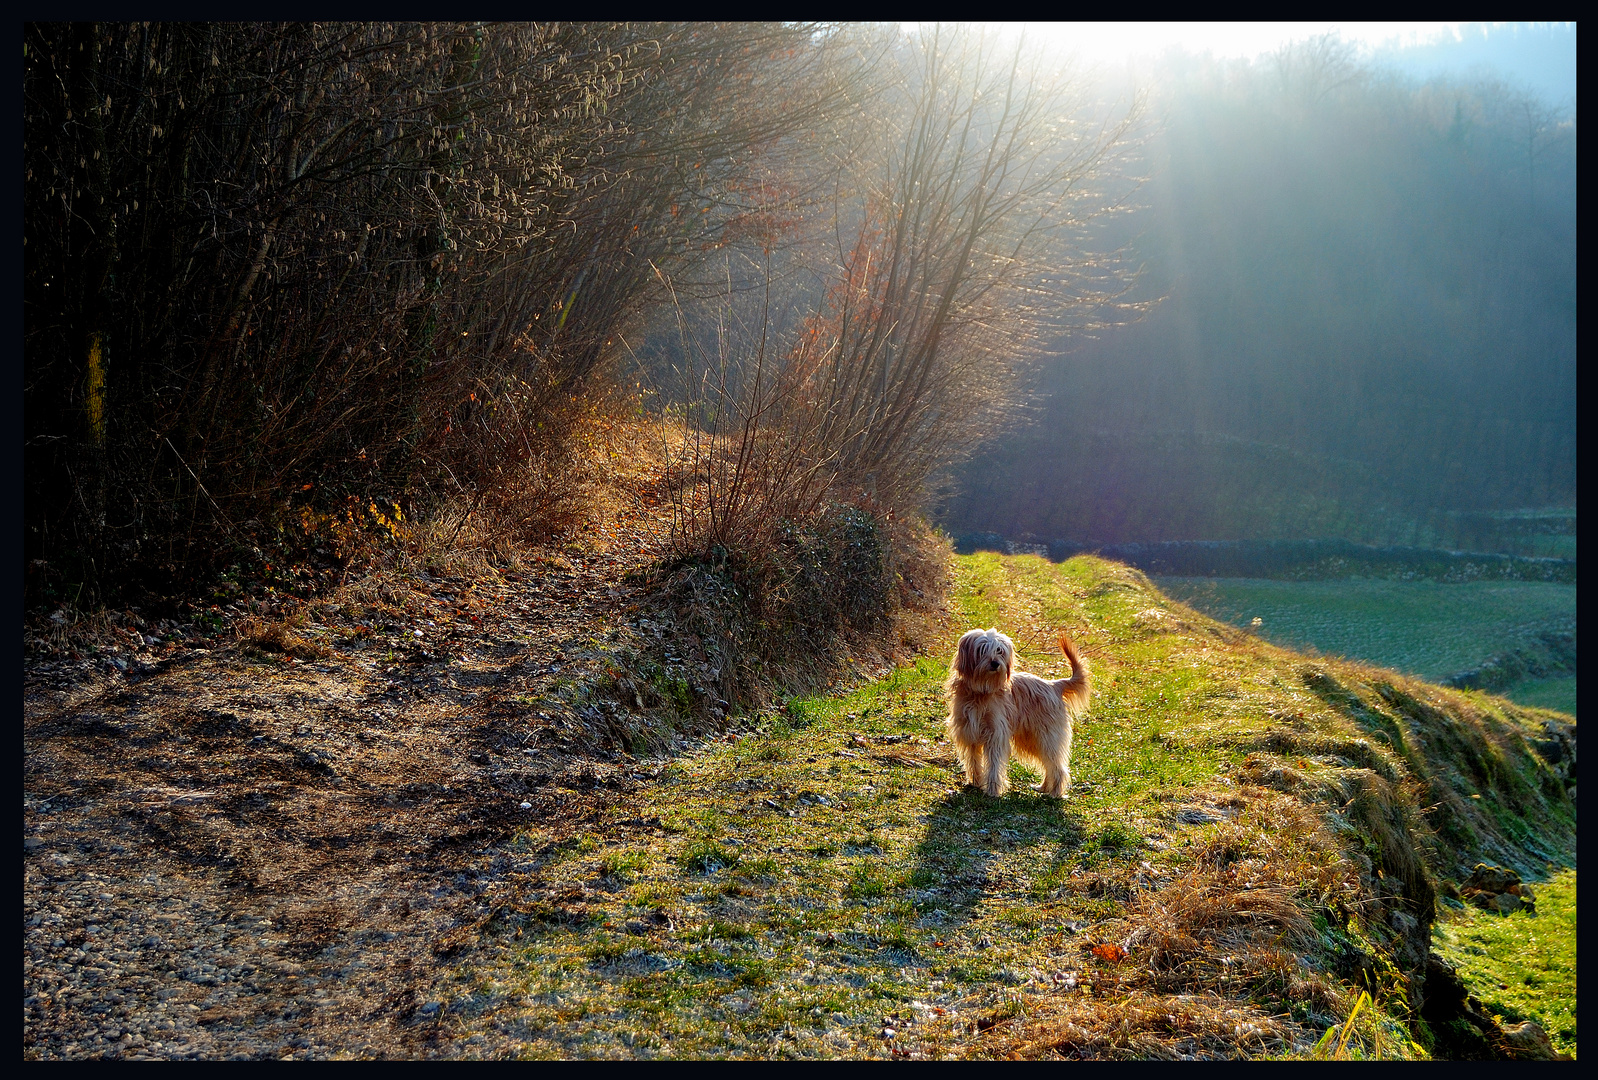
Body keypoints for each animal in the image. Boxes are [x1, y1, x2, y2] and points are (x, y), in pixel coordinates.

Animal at [939, 629, 1093, 798]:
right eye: (982, 649)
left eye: (999, 651)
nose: (995, 663)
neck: (981, 692)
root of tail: (1054, 685)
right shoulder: (969, 732)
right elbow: (973, 761)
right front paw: (975, 783)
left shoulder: (995, 734)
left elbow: (994, 764)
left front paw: (992, 791)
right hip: (1032, 740)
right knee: (1049, 765)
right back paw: (1044, 787)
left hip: (1047, 738)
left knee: (1058, 767)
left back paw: (1055, 793)